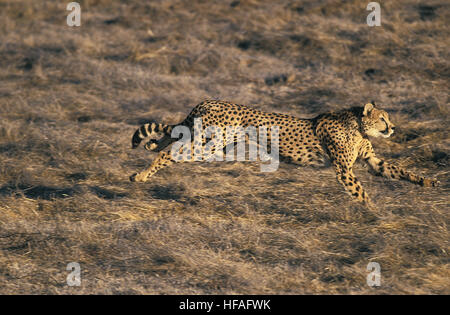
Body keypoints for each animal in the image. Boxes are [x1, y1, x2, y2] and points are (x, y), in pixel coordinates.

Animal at [130, 100, 440, 206]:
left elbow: (399, 171)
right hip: (210, 146)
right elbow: (360, 192)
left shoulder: (372, 161)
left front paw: (428, 181)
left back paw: (148, 152)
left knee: (168, 139)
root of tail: (210, 101)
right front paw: (375, 213)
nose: (393, 127)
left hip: (207, 140)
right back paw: (141, 176)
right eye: (383, 119)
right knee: (170, 154)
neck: (357, 124)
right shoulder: (343, 169)